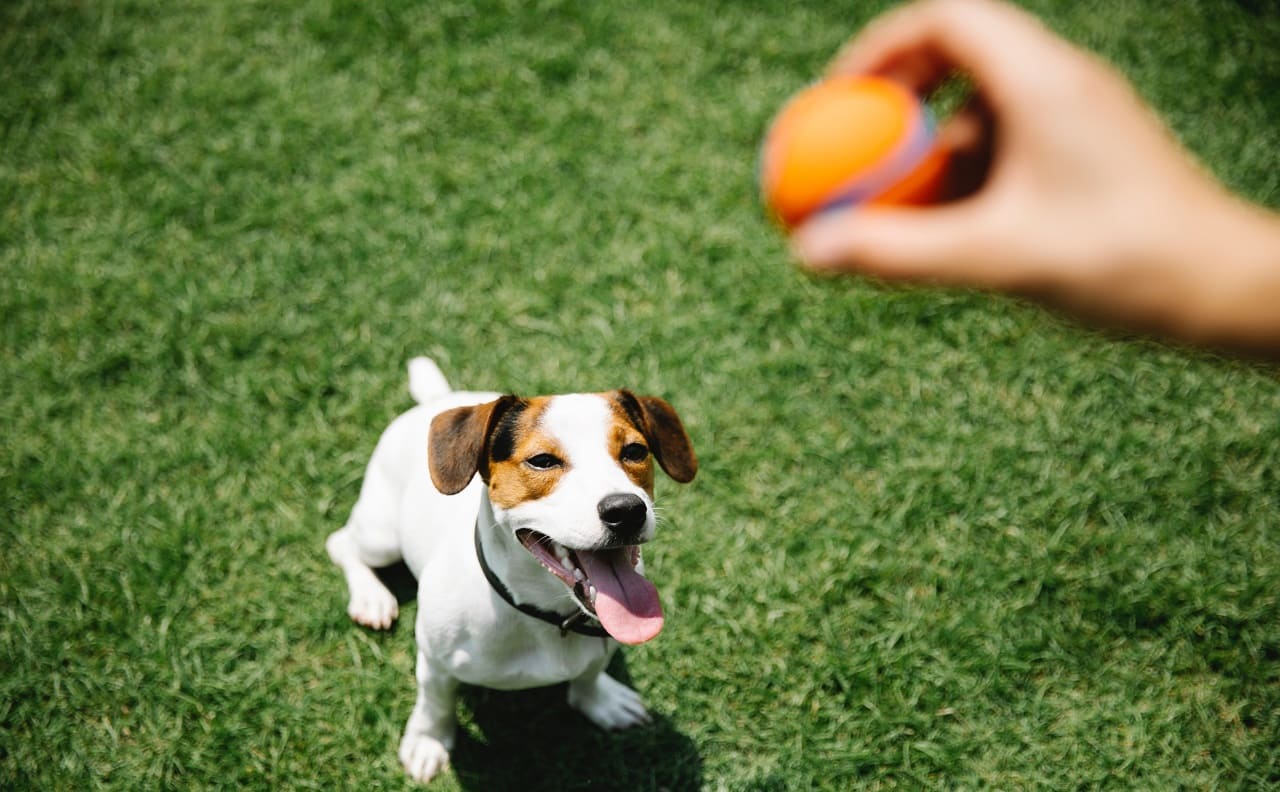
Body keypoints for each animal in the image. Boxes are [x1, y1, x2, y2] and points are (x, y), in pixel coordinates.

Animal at [325, 360, 696, 788]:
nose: (626, 510)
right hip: (381, 534)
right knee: (341, 544)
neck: (541, 614)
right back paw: (371, 598)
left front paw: (601, 700)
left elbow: (588, 674)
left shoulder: (600, 647)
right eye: (542, 461)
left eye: (635, 451)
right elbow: (435, 703)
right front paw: (428, 741)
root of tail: (438, 399)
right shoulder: (434, 661)